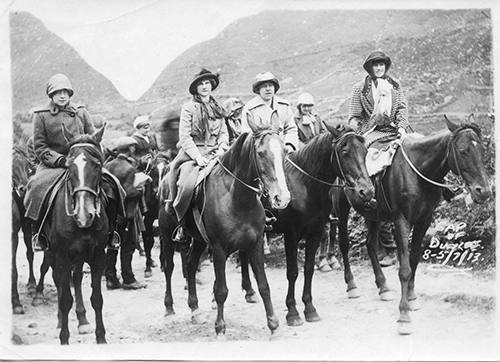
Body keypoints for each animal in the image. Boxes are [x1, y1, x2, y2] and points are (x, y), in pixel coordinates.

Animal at [39, 125, 109, 346]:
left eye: (97, 165)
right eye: (69, 167)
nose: (83, 215)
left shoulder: (98, 257)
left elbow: (97, 298)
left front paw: (101, 337)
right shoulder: (61, 257)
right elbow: (64, 299)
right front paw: (64, 338)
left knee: (76, 278)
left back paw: (82, 320)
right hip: (51, 253)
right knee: (58, 281)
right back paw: (60, 322)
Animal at [158, 121, 292, 336]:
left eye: (285, 151)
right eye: (261, 153)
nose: (282, 197)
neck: (237, 199)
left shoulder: (254, 245)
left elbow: (264, 286)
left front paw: (273, 325)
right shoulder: (219, 250)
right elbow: (221, 291)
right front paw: (220, 328)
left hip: (199, 240)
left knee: (191, 264)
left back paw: (195, 310)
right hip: (166, 235)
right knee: (169, 267)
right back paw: (169, 309)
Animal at [334, 114, 490, 336]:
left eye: (482, 150)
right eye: (462, 151)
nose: (484, 192)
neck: (418, 171)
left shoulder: (425, 220)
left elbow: (414, 259)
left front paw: (412, 298)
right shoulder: (402, 222)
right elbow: (404, 269)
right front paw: (403, 316)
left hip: (374, 215)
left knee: (370, 245)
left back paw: (383, 287)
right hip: (342, 207)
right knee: (344, 245)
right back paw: (352, 285)